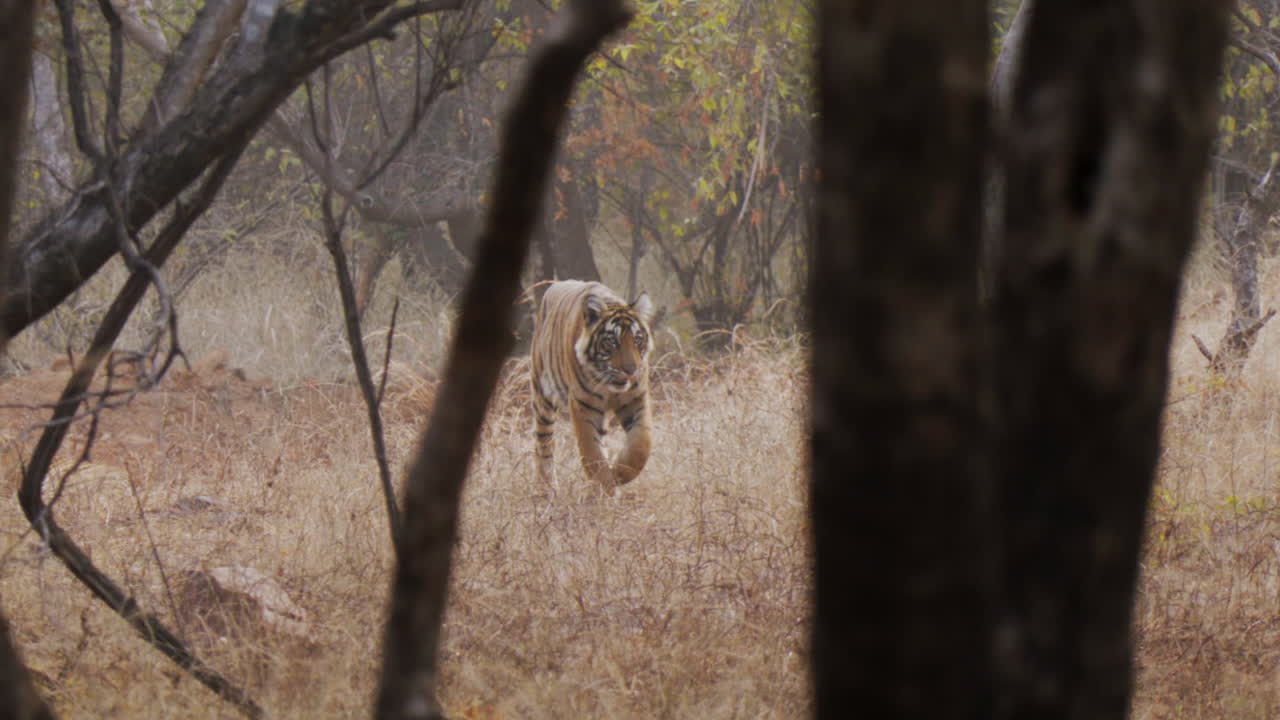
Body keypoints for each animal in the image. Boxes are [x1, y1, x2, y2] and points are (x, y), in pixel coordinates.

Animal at [530, 280, 656, 492]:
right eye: (612, 342)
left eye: (637, 340)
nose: (631, 370)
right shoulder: (583, 405)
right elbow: (592, 453)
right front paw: (606, 484)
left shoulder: (636, 399)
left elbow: (641, 446)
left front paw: (619, 471)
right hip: (543, 397)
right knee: (544, 444)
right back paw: (546, 488)